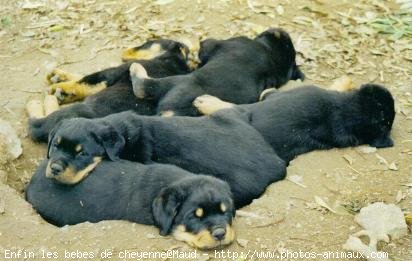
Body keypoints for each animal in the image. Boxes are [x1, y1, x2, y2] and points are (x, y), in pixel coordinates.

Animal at [27, 38, 192, 141]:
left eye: (148, 42)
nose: (125, 50)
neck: (175, 60)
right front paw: (59, 77)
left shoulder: (110, 74)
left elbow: (85, 80)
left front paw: (59, 87)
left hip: (74, 112)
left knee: (36, 125)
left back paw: (44, 102)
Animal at [130, 27, 304, 116]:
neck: (272, 54)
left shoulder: (211, 45)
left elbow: (198, 45)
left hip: (175, 81)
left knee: (143, 85)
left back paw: (135, 69)